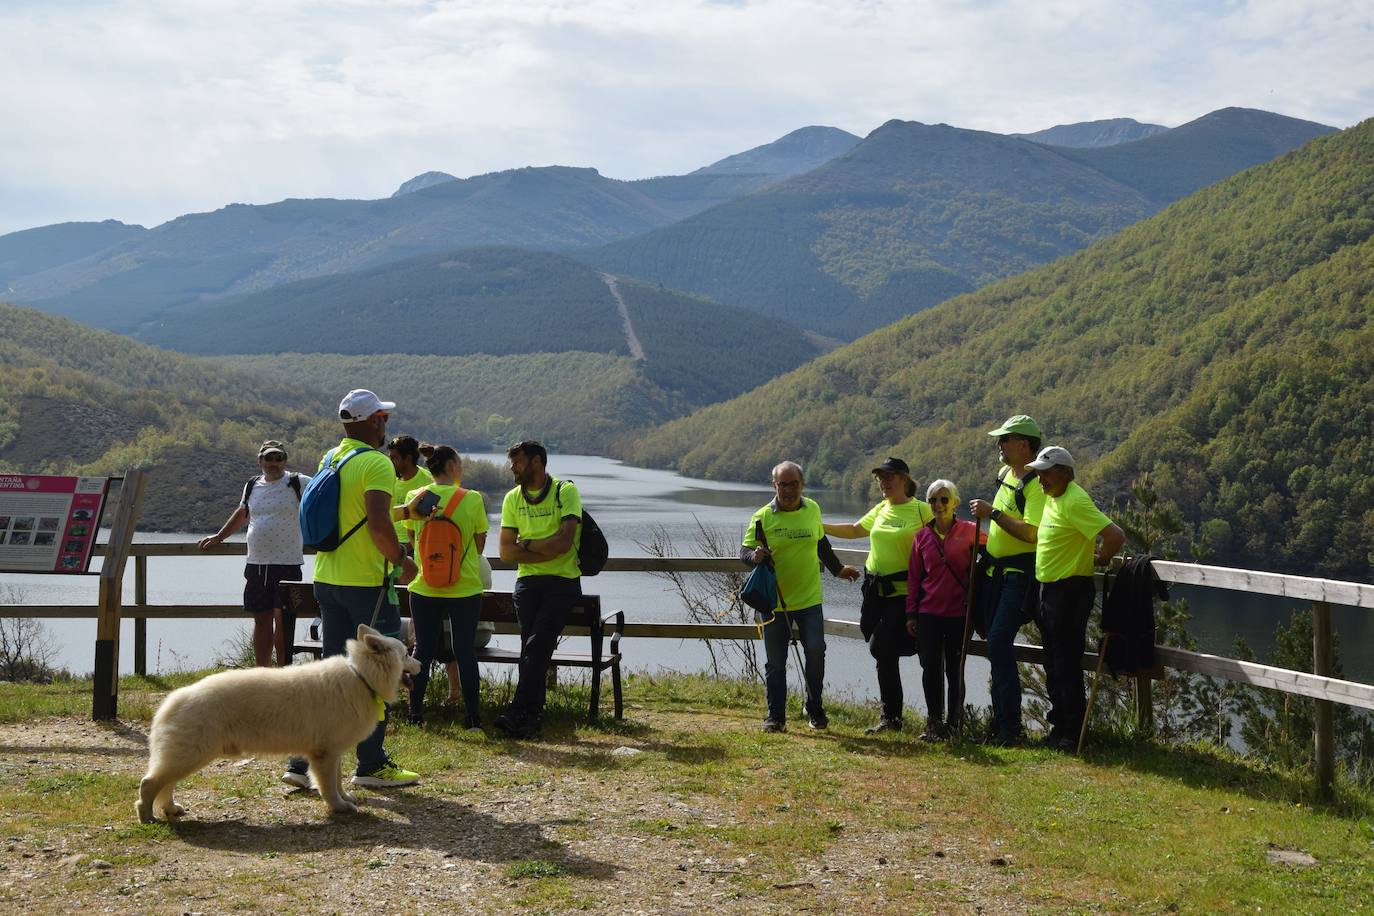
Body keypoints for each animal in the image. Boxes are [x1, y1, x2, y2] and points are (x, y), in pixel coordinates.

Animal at [138, 626, 420, 818]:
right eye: (407, 653)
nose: (420, 662)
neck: (361, 677)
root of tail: (174, 699)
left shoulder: (334, 752)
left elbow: (338, 781)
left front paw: (345, 799)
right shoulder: (324, 754)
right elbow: (328, 785)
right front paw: (338, 807)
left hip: (186, 757)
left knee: (165, 785)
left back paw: (171, 809)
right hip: (191, 755)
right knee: (149, 784)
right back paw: (147, 816)